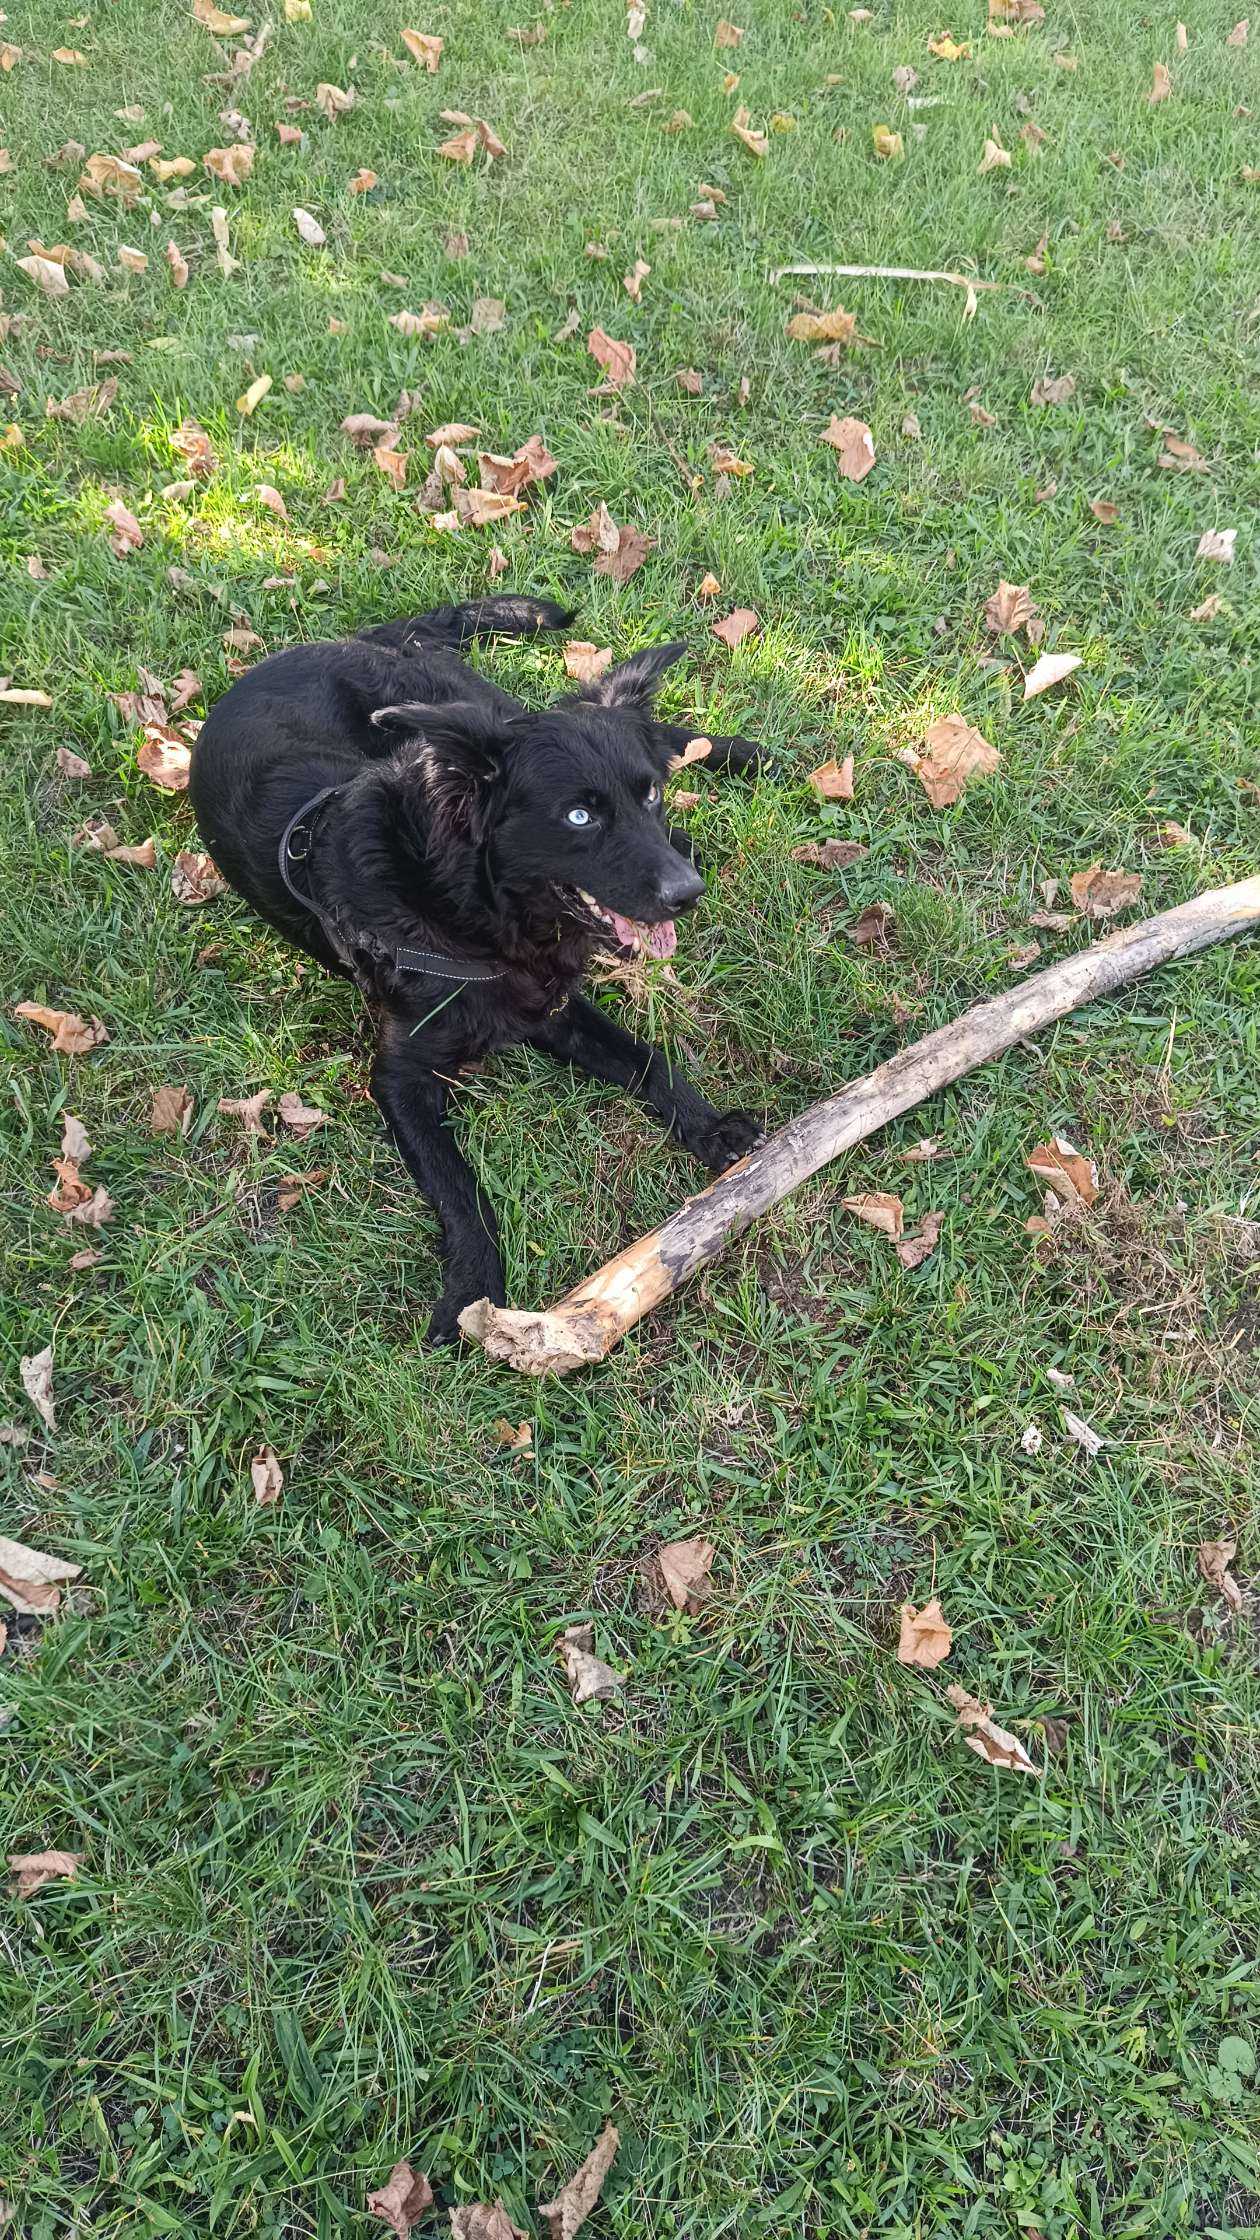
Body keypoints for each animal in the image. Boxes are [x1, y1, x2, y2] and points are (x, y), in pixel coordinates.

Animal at [189, 595, 766, 1343]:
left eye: (649, 798)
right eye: (578, 815)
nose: (687, 894)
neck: (465, 904)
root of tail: (347, 639)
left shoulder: (550, 1004)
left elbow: (648, 1059)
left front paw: (710, 1125)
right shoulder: (404, 1076)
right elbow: (460, 1186)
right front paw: (472, 1286)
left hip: (465, 705)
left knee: (648, 726)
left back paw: (746, 757)